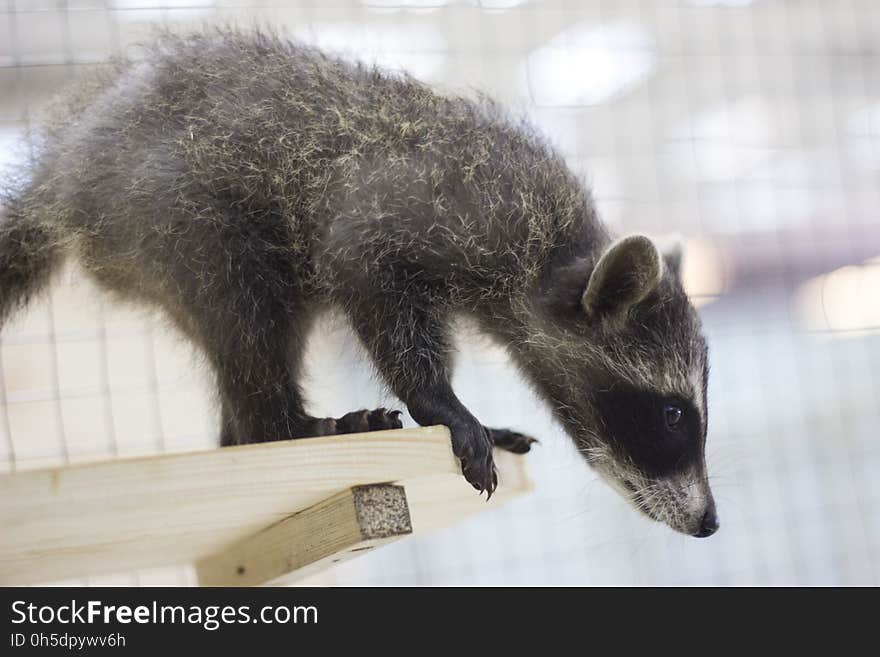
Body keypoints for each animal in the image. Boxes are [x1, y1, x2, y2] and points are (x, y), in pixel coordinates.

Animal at [0, 30, 716, 536]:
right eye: (674, 414)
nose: (711, 522)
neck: (559, 254)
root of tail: (58, 175)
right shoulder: (432, 210)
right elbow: (364, 273)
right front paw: (442, 403)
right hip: (167, 213)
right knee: (243, 307)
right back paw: (280, 426)